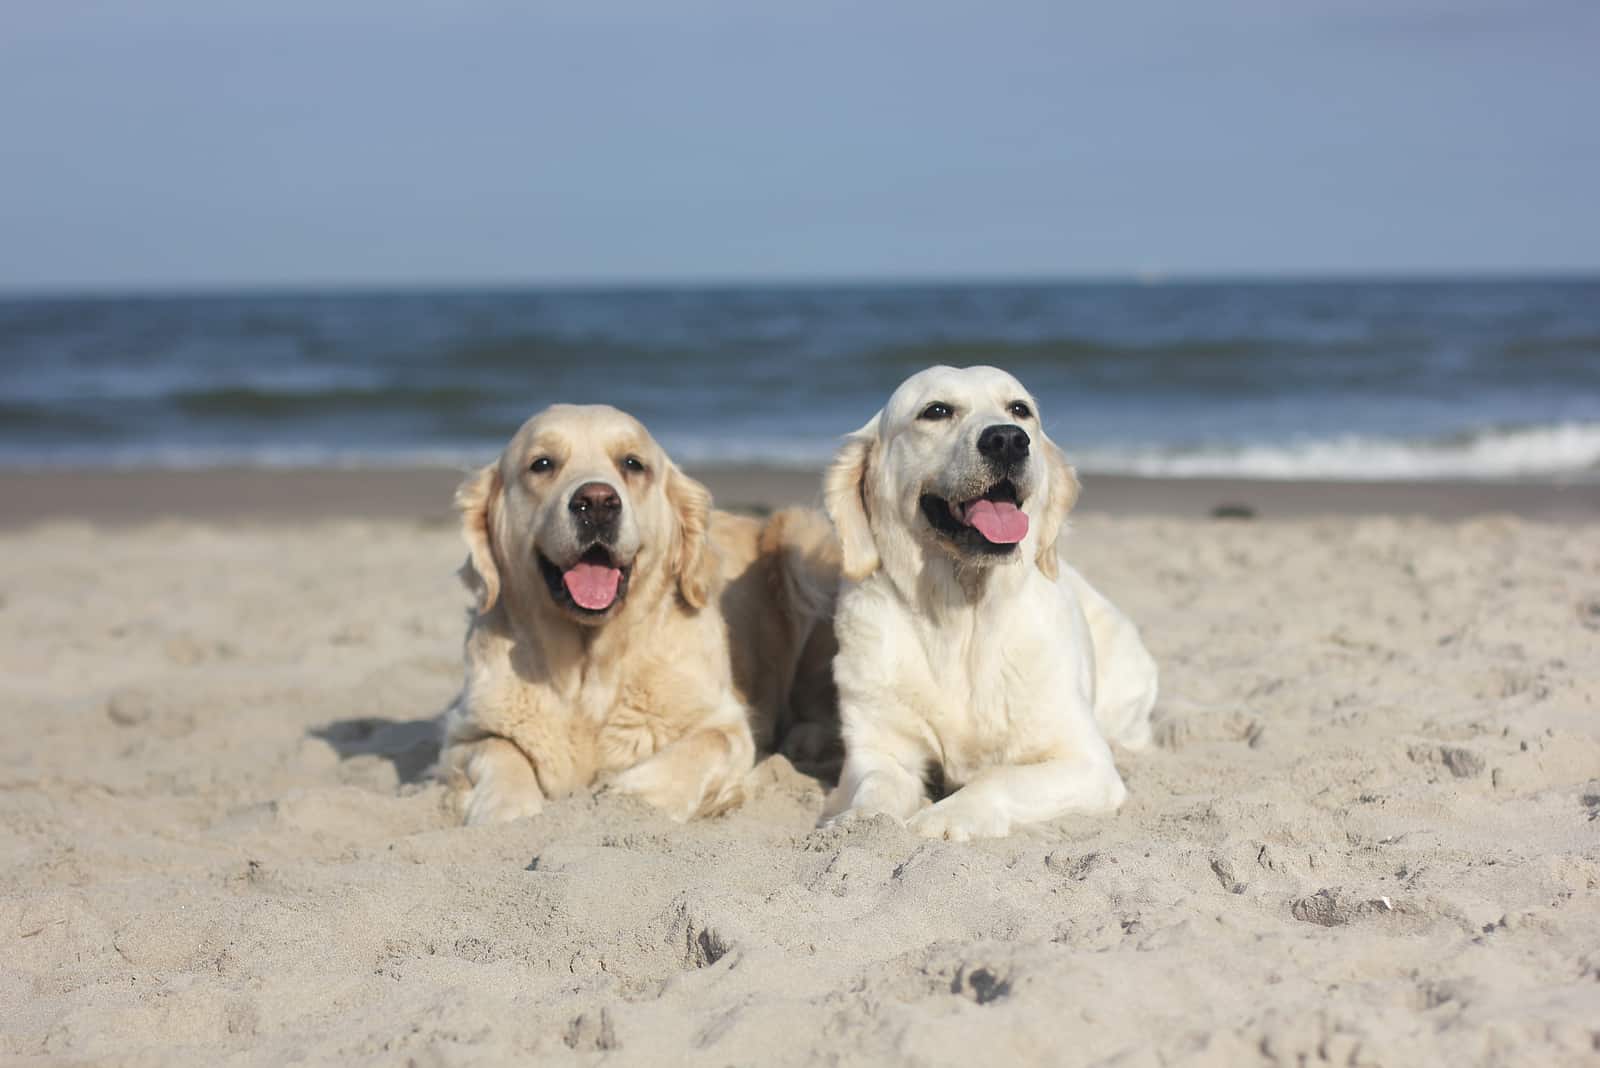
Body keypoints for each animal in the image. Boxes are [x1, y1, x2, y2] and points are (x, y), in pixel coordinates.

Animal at [438, 402, 838, 824]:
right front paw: (506, 807)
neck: (588, 669)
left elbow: (705, 745)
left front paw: (628, 796)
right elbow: (500, 750)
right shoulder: (464, 734)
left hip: (802, 545)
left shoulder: (726, 722)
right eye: (542, 463)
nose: (597, 502)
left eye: (633, 463)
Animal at [825, 367, 1152, 844]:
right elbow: (878, 783)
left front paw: (945, 816)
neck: (961, 614)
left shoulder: (1085, 761)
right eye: (936, 411)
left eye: (1020, 409)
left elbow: (999, 777)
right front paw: (862, 821)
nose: (1008, 440)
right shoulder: (877, 746)